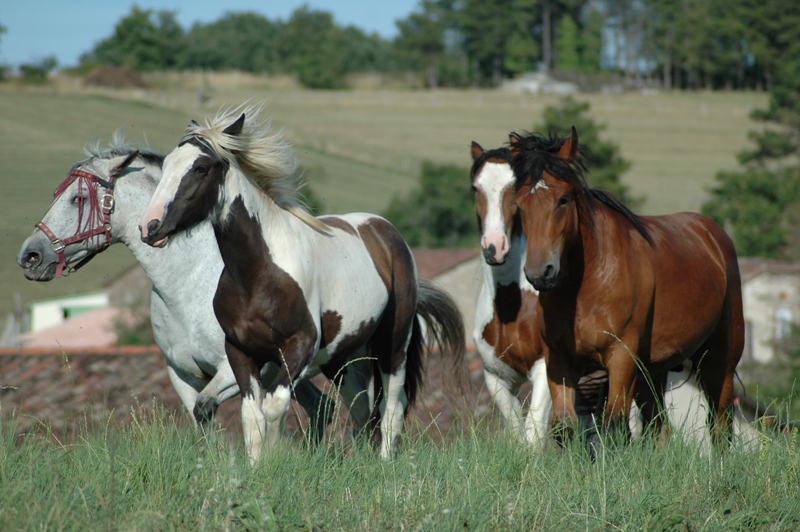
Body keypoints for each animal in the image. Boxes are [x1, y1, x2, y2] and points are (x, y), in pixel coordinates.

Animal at [15, 136, 334, 440]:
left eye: (78, 198)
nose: (29, 256)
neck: (188, 285)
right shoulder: (182, 376)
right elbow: (202, 424)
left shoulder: (235, 371)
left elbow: (216, 409)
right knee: (322, 407)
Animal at [140, 107, 466, 462]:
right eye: (167, 165)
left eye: (200, 167)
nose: (150, 226)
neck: (259, 275)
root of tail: (387, 233)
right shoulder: (240, 352)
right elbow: (252, 415)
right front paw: (256, 466)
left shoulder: (299, 346)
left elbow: (274, 406)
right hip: (341, 358)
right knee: (361, 409)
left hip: (392, 344)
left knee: (391, 407)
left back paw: (383, 463)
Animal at [510, 125, 748, 444]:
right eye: (520, 203)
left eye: (564, 199)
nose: (540, 273)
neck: (586, 285)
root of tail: (713, 236)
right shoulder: (559, 360)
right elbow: (565, 428)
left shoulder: (620, 358)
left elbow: (614, 426)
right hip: (651, 370)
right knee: (658, 426)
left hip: (719, 363)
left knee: (719, 426)